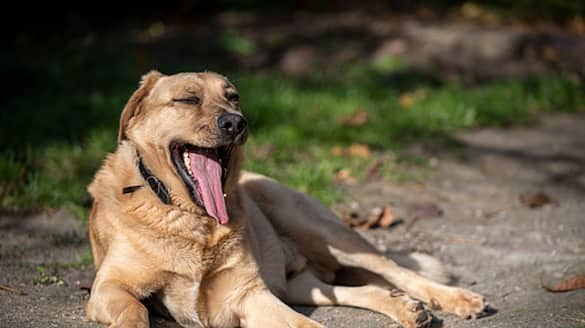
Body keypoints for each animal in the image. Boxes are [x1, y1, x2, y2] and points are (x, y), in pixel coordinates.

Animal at [86, 70, 486, 326]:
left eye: (233, 97)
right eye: (187, 99)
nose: (236, 122)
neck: (192, 218)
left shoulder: (250, 295)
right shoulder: (108, 288)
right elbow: (135, 312)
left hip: (322, 231)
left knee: (397, 270)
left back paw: (457, 299)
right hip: (299, 283)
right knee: (352, 288)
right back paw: (405, 309)